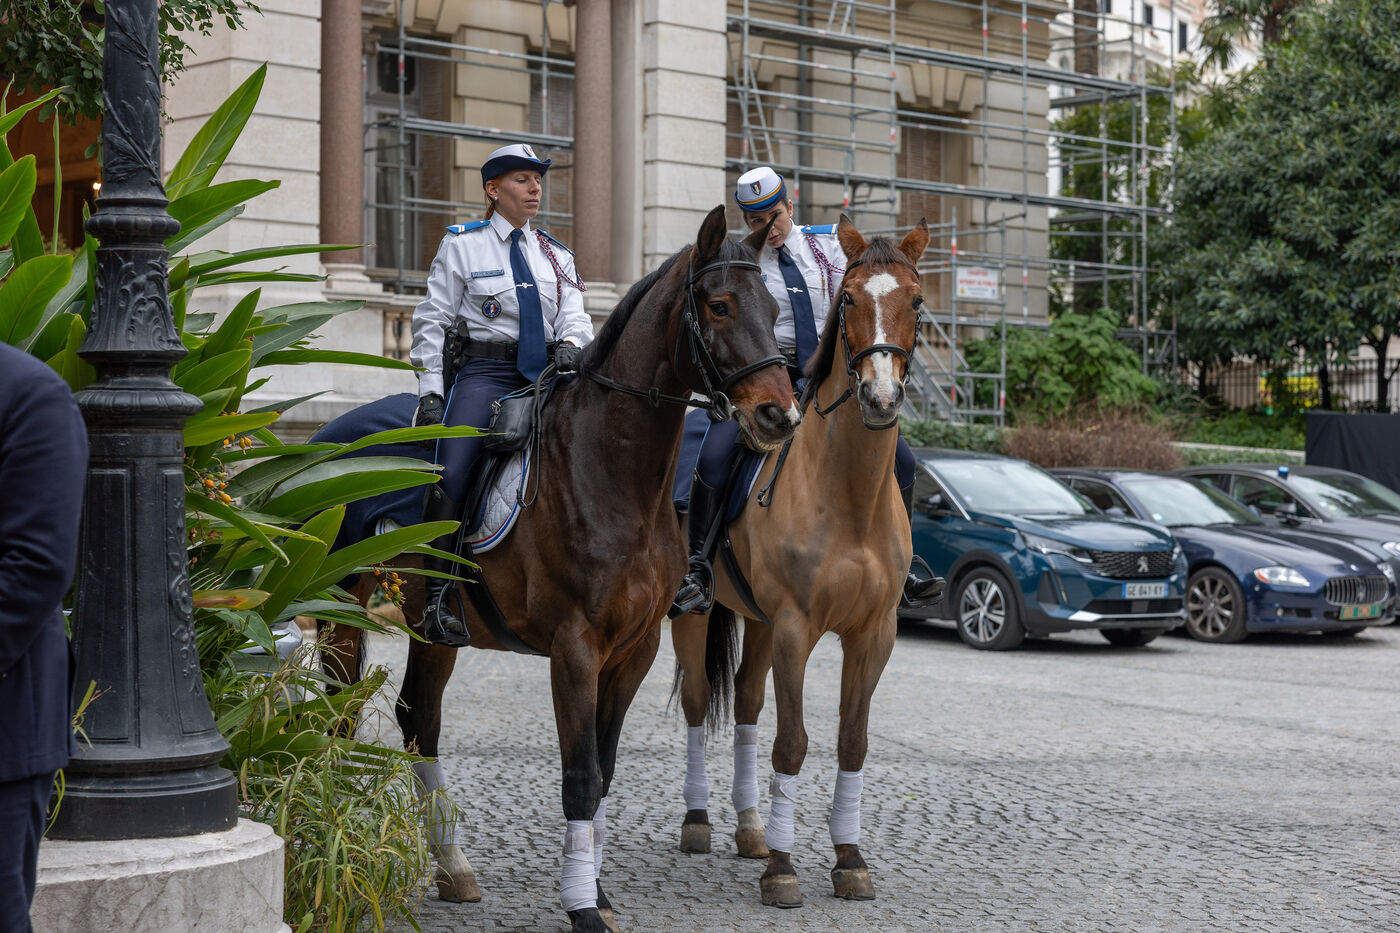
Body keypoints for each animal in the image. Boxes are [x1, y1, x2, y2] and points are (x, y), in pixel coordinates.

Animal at [315, 205, 800, 933]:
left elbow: (604, 769)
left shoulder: (634, 650)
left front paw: (594, 890)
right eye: (719, 305)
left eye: (773, 308)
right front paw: (583, 908)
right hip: (339, 609)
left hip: (431, 628)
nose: (779, 414)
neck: (613, 472)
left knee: (417, 720)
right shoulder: (574, 648)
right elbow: (580, 776)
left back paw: (451, 866)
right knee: (341, 717)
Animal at [669, 216, 930, 909]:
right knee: (701, 703)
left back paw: (752, 828)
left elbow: (851, 742)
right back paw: (701, 821)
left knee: (748, 705)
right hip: (695, 615)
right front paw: (785, 872)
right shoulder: (794, 628)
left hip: (757, 622)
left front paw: (848, 859)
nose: (880, 396)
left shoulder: (874, 634)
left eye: (916, 302)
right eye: (850, 299)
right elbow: (792, 744)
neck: (848, 494)